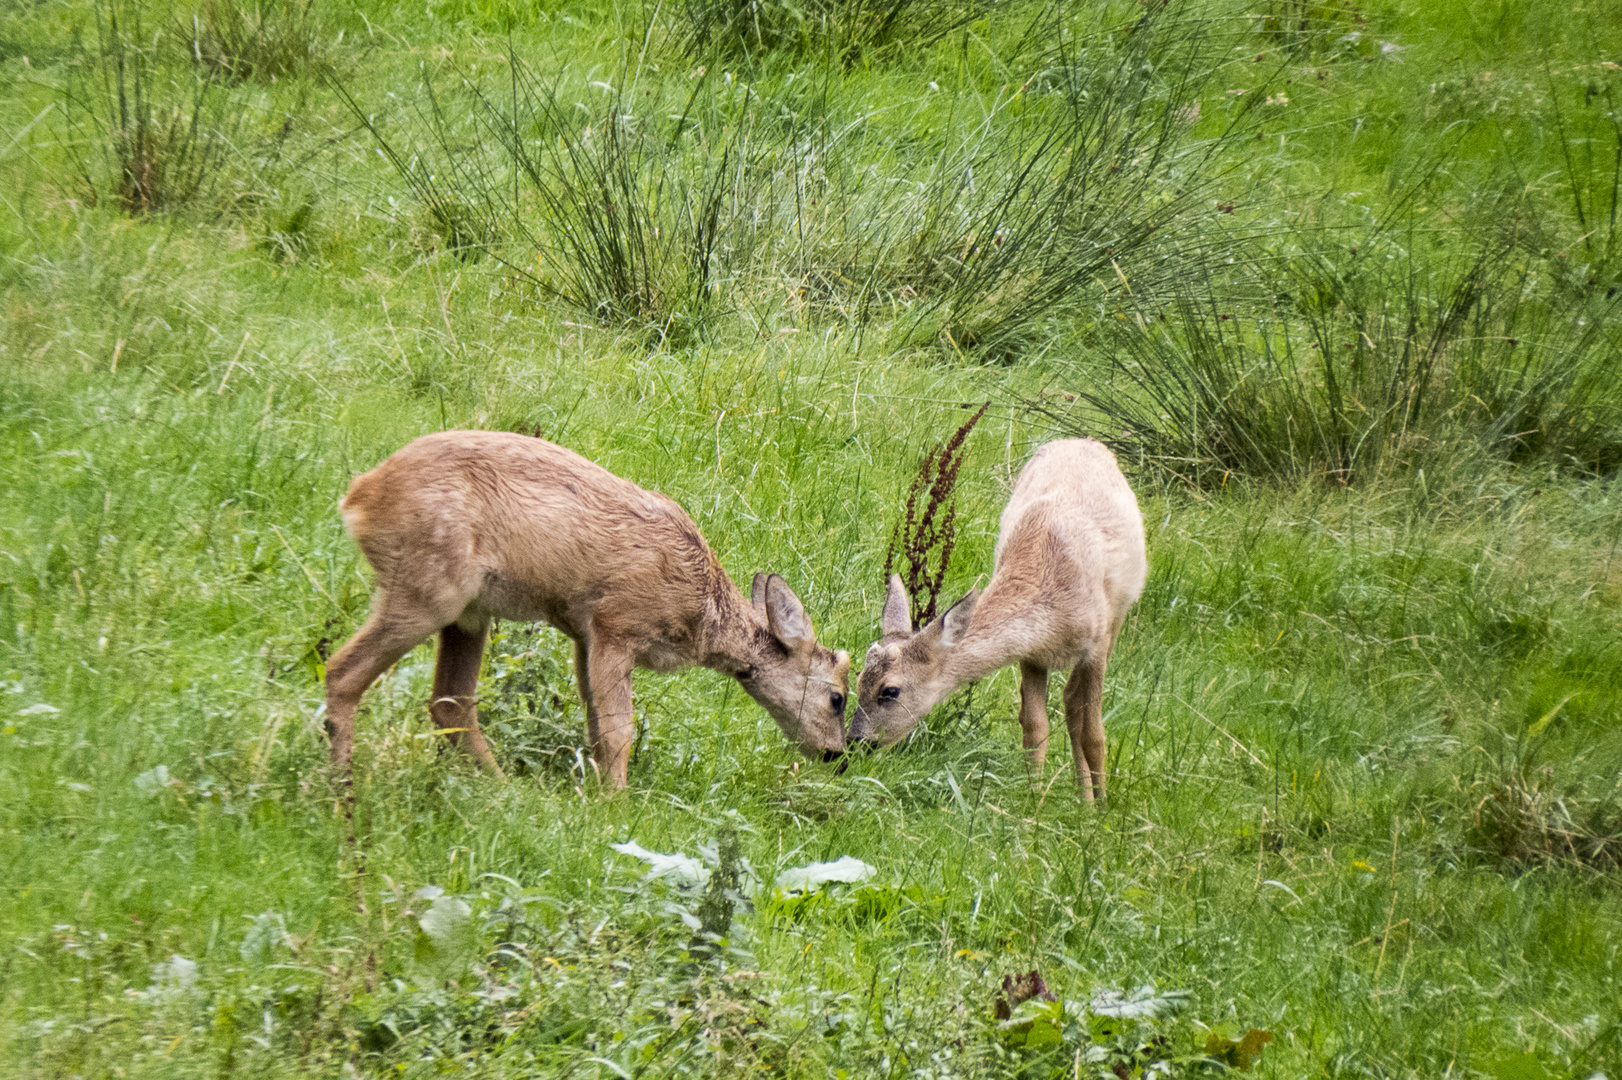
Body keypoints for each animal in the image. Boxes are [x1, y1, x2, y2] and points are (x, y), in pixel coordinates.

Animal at [319, 428, 849, 791]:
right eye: (838, 698)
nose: (838, 756)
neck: (701, 609)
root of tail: (357, 498)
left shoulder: (582, 635)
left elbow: (595, 727)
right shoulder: (616, 623)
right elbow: (618, 731)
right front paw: (616, 804)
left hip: (469, 613)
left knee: (449, 701)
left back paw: (506, 791)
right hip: (427, 588)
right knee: (342, 671)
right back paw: (343, 791)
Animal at [843, 437, 1148, 797]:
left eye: (890, 690)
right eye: (858, 679)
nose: (854, 742)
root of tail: (1082, 440)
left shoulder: (1096, 646)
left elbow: (1095, 736)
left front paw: (1101, 810)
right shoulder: (1032, 653)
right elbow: (1035, 728)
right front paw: (1033, 802)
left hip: (1118, 617)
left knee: (1078, 708)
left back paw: (1088, 800)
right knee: (1069, 702)